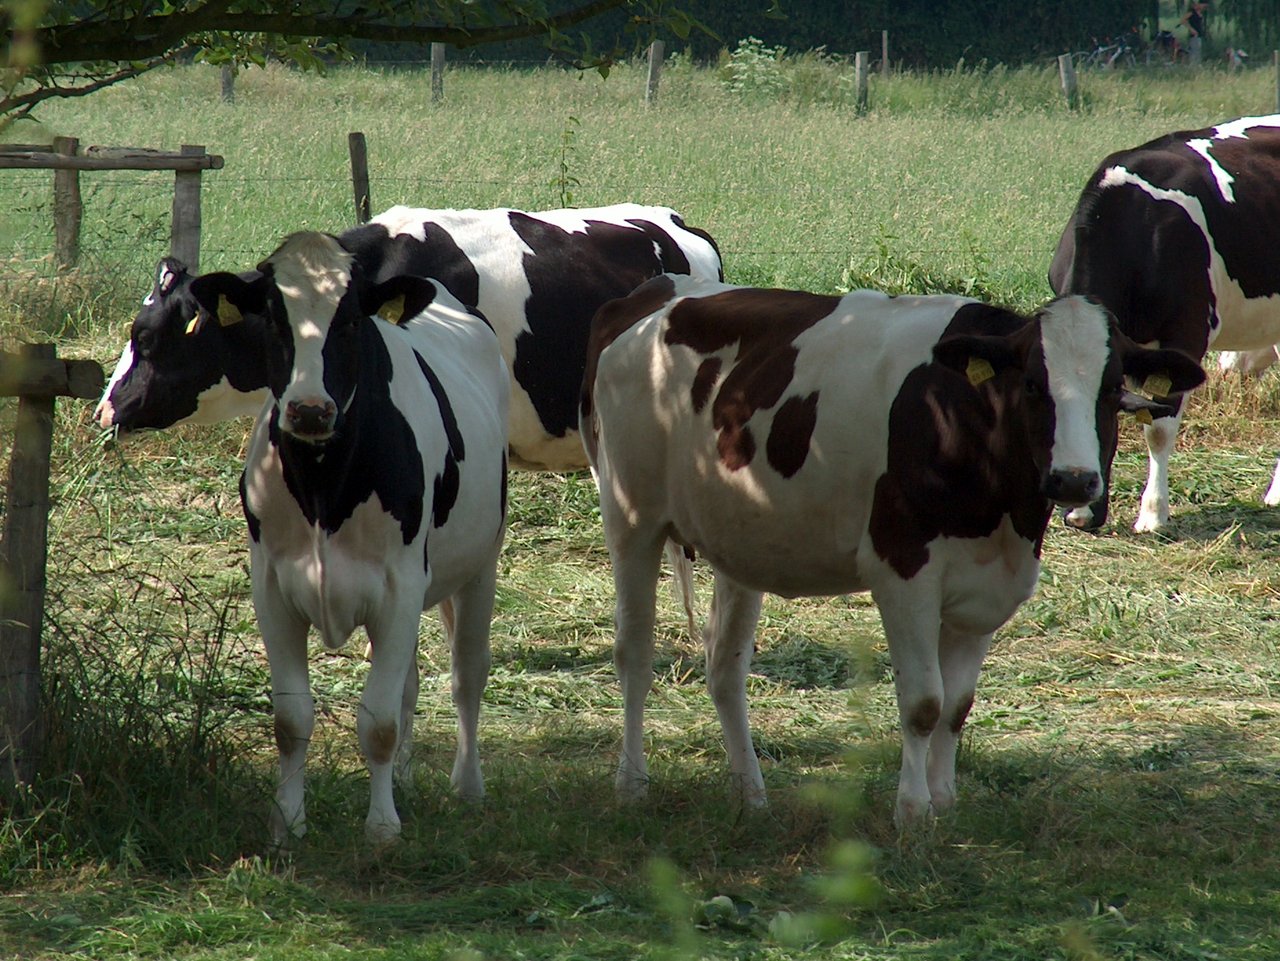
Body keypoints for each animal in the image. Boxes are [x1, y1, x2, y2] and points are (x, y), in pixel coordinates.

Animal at [189, 229, 509, 844]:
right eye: (273, 317)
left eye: (353, 320)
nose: (311, 410)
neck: (324, 488)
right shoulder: (271, 587)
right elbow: (292, 719)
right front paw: (287, 821)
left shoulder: (400, 586)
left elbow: (378, 721)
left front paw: (381, 827)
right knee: (411, 682)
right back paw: (406, 779)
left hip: (481, 564)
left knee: (467, 675)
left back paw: (469, 785)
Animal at [586, 272, 1203, 829]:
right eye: (1032, 384)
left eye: (1112, 390)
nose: (1074, 480)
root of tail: (656, 295)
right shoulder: (903, 571)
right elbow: (924, 703)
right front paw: (912, 811)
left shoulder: (988, 587)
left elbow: (957, 706)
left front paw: (945, 803)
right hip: (631, 517)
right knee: (635, 653)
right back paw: (631, 784)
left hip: (738, 538)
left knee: (725, 665)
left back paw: (751, 795)